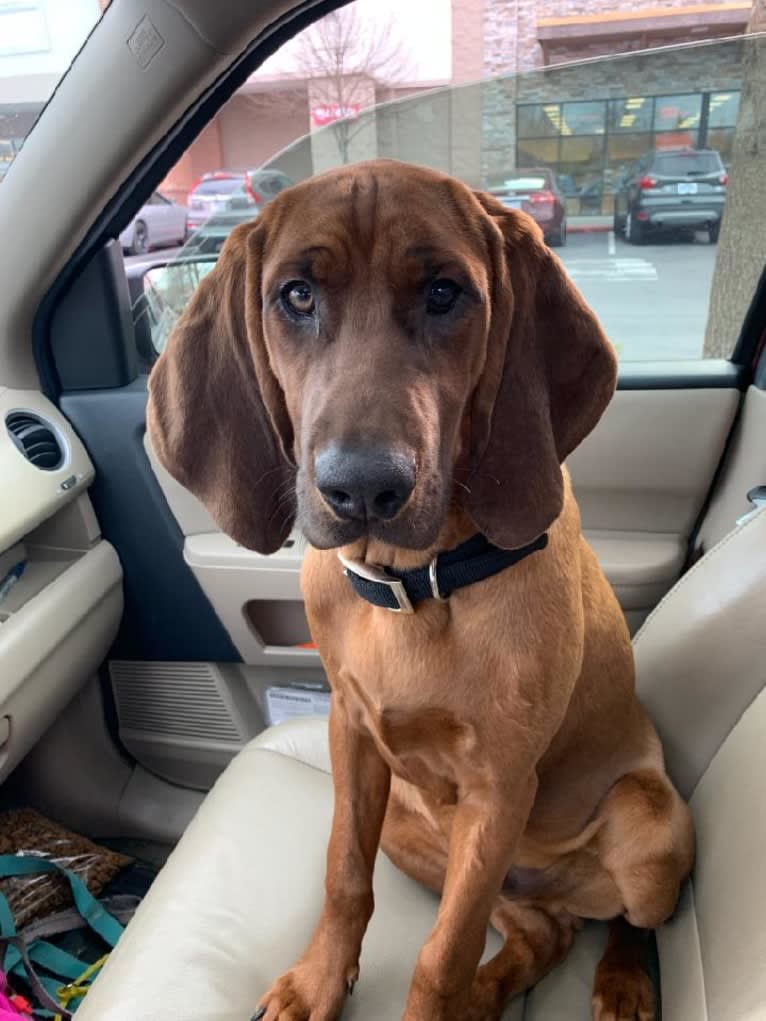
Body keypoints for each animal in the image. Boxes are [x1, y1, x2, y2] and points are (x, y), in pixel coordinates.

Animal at [147, 161, 698, 1021]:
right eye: (296, 295)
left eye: (445, 293)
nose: (363, 487)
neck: (416, 584)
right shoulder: (350, 732)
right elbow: (344, 876)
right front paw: (317, 980)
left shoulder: (501, 787)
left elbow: (442, 952)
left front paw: (435, 997)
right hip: (417, 837)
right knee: (541, 931)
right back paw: (490, 993)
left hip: (649, 827)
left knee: (625, 921)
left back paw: (621, 981)